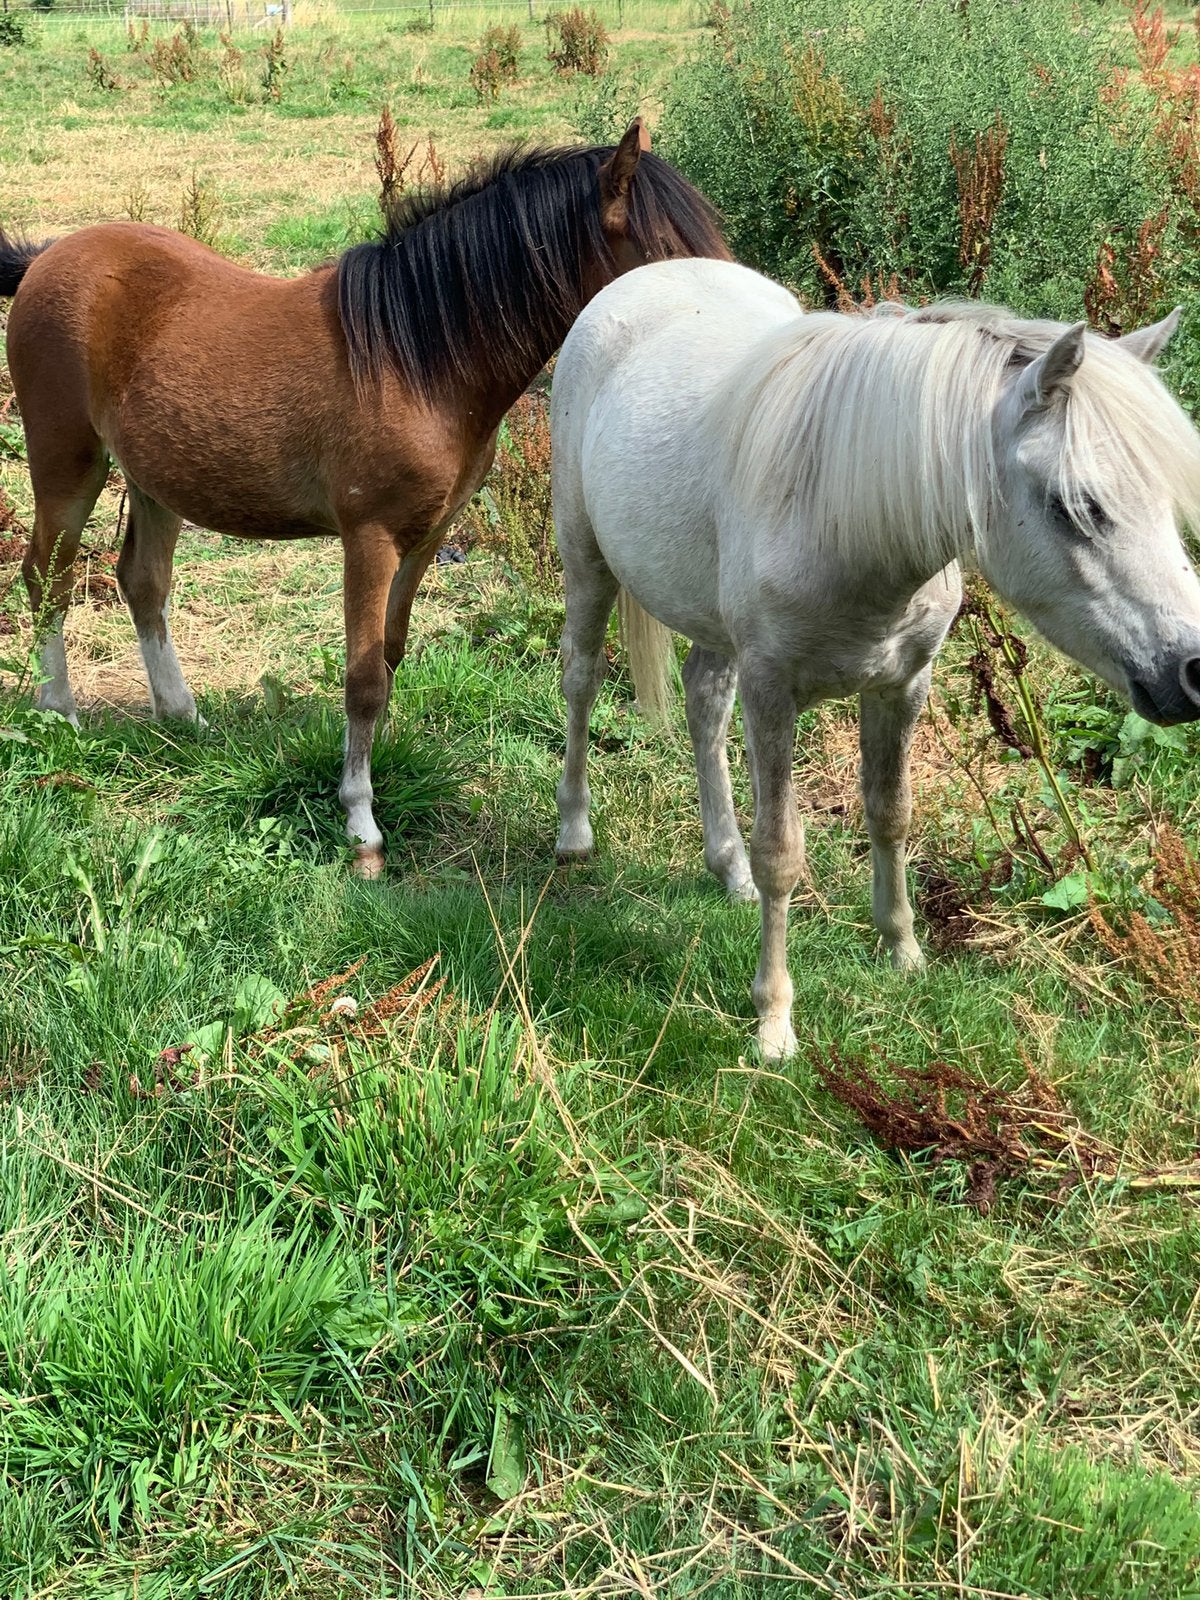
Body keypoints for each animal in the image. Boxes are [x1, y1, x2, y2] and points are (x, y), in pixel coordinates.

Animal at [0, 121, 727, 875]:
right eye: (668, 253)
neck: (421, 361)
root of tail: (46, 258)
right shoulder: (368, 538)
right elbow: (362, 678)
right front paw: (361, 825)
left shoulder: (429, 535)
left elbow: (391, 652)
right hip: (67, 464)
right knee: (46, 578)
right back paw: (59, 714)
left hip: (154, 479)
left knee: (142, 581)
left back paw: (183, 716)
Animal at [549, 257, 1200, 1058]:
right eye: (1076, 506)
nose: (1191, 671)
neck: (843, 514)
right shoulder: (773, 692)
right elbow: (782, 852)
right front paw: (774, 1023)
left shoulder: (902, 685)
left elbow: (891, 815)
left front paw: (903, 951)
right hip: (585, 559)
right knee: (580, 678)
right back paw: (575, 832)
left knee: (704, 702)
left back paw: (725, 865)